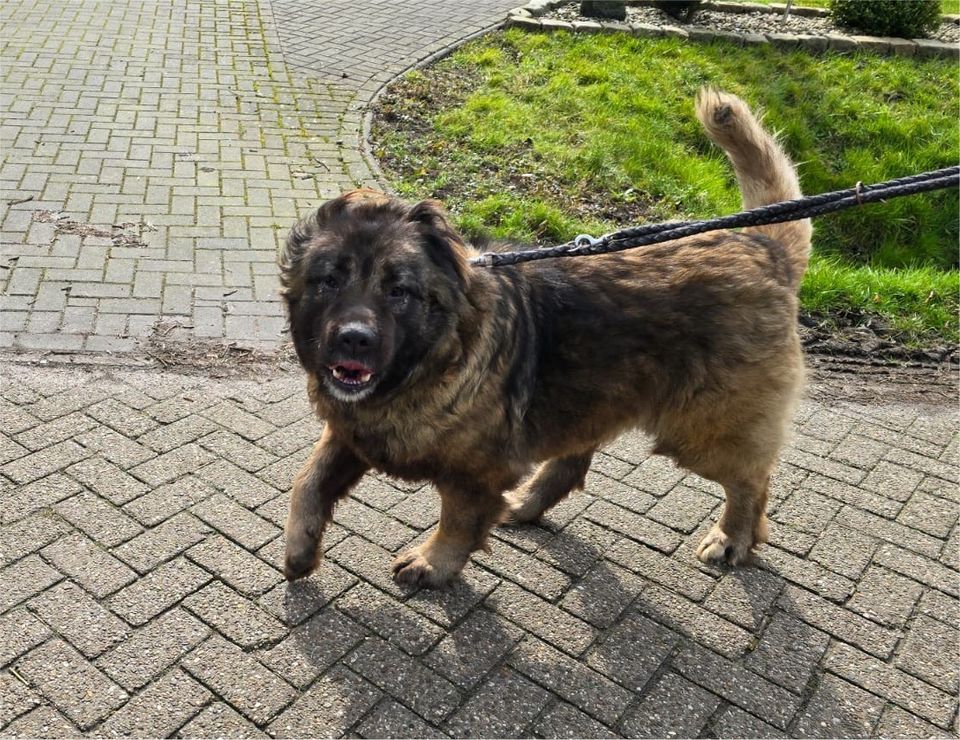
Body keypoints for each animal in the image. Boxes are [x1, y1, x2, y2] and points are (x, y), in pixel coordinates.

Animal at [278, 89, 808, 588]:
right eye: (329, 281)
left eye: (398, 290)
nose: (354, 340)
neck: (431, 363)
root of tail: (761, 244)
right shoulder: (349, 433)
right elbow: (307, 481)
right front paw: (300, 545)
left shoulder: (475, 472)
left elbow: (457, 521)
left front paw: (435, 562)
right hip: (599, 393)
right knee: (574, 461)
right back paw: (528, 502)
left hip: (704, 429)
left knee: (751, 480)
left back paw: (733, 536)